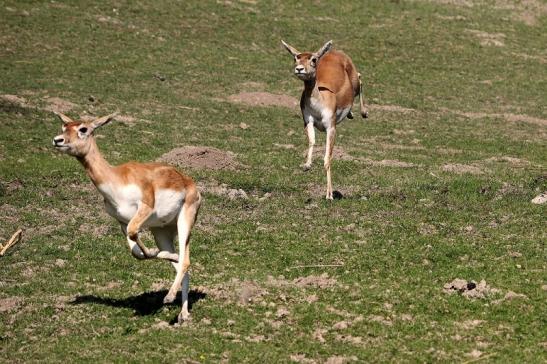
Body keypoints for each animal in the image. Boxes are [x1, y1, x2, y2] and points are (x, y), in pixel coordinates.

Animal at [50, 111, 201, 322]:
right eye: (64, 127)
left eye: (83, 129)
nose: (58, 140)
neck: (116, 180)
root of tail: (189, 182)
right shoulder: (121, 221)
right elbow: (136, 252)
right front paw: (154, 252)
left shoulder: (144, 208)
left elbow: (134, 234)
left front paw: (154, 253)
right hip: (161, 231)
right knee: (181, 264)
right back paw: (183, 314)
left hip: (184, 221)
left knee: (186, 261)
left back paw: (170, 298)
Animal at [282, 39, 368, 199]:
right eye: (296, 57)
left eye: (313, 59)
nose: (299, 69)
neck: (319, 102)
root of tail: (336, 52)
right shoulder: (308, 121)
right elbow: (311, 141)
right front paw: (307, 165)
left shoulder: (331, 127)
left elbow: (327, 159)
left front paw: (329, 195)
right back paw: (351, 114)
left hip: (354, 82)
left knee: (360, 78)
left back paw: (364, 112)